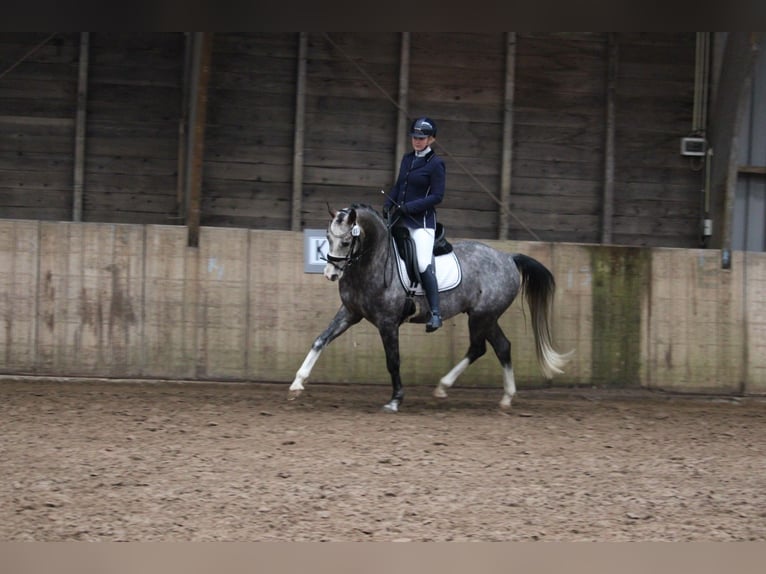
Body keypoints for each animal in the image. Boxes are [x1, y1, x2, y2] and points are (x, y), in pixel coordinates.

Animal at [288, 203, 572, 412]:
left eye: (346, 242)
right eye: (327, 238)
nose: (330, 274)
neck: (373, 260)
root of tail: (508, 258)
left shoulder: (387, 323)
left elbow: (393, 360)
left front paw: (395, 400)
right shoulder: (350, 313)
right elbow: (320, 340)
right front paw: (298, 382)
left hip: (482, 317)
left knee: (479, 347)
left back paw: (445, 387)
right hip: (485, 317)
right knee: (500, 347)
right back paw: (503, 398)